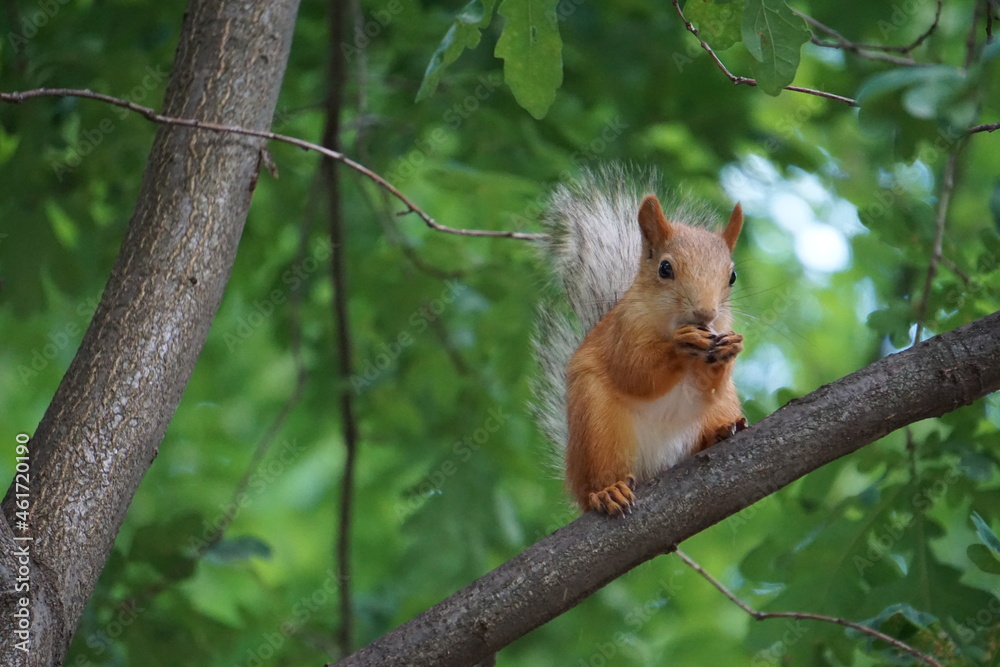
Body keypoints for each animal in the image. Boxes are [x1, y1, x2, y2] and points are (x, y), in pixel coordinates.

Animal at [535, 166, 748, 516]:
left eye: (732, 276)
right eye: (665, 268)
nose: (705, 313)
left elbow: (707, 389)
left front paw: (730, 348)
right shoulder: (623, 332)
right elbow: (635, 372)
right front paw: (681, 344)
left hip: (723, 406)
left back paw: (720, 432)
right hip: (598, 428)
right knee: (600, 478)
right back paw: (607, 492)